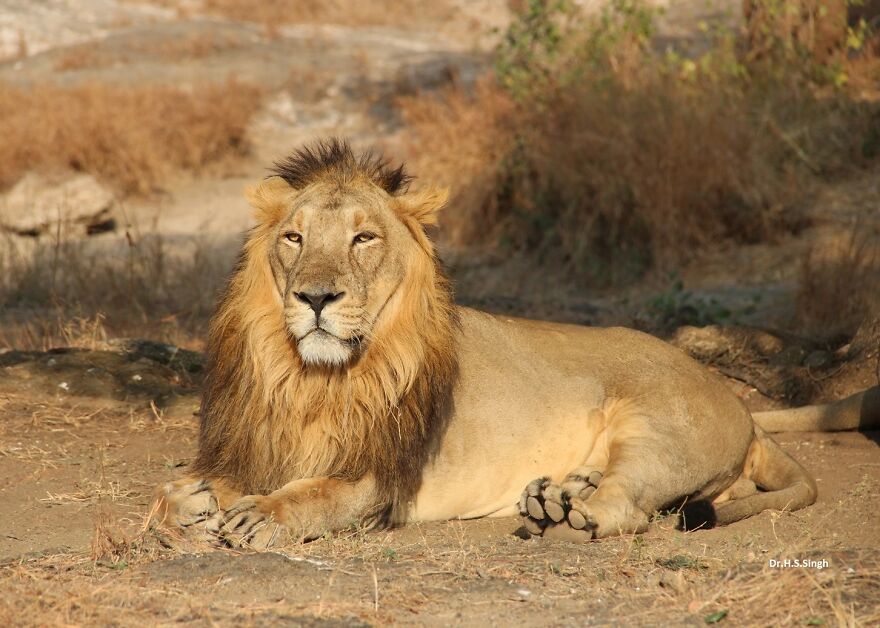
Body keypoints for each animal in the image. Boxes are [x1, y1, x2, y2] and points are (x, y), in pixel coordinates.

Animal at [153, 138, 880, 548]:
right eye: (294, 238)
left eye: (363, 238)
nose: (314, 298)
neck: (310, 377)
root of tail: (742, 410)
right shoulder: (251, 442)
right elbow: (171, 494)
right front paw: (192, 503)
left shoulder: (378, 478)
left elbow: (315, 496)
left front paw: (256, 517)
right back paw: (556, 497)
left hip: (661, 427)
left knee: (632, 507)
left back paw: (568, 516)